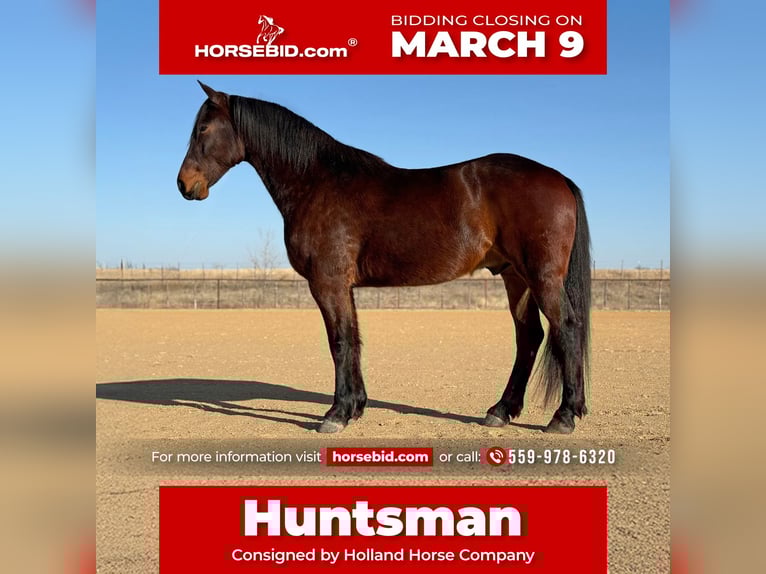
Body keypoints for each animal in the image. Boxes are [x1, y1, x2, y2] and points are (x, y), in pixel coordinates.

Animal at [177, 82, 592, 434]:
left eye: (203, 129)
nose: (184, 184)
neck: (317, 181)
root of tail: (558, 178)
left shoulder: (327, 283)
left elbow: (339, 341)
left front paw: (336, 414)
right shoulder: (343, 286)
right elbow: (353, 338)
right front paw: (355, 406)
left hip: (541, 276)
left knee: (566, 328)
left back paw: (563, 416)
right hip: (514, 277)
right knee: (530, 336)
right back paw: (500, 411)